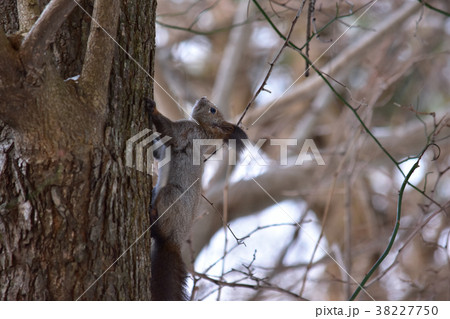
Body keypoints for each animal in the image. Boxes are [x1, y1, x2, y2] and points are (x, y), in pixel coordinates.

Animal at [144, 96, 248, 302]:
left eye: (213, 110)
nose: (203, 97)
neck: (205, 132)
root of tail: (175, 242)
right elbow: (158, 152)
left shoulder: (188, 132)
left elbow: (169, 130)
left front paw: (153, 109)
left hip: (170, 196)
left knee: (160, 229)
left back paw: (153, 218)